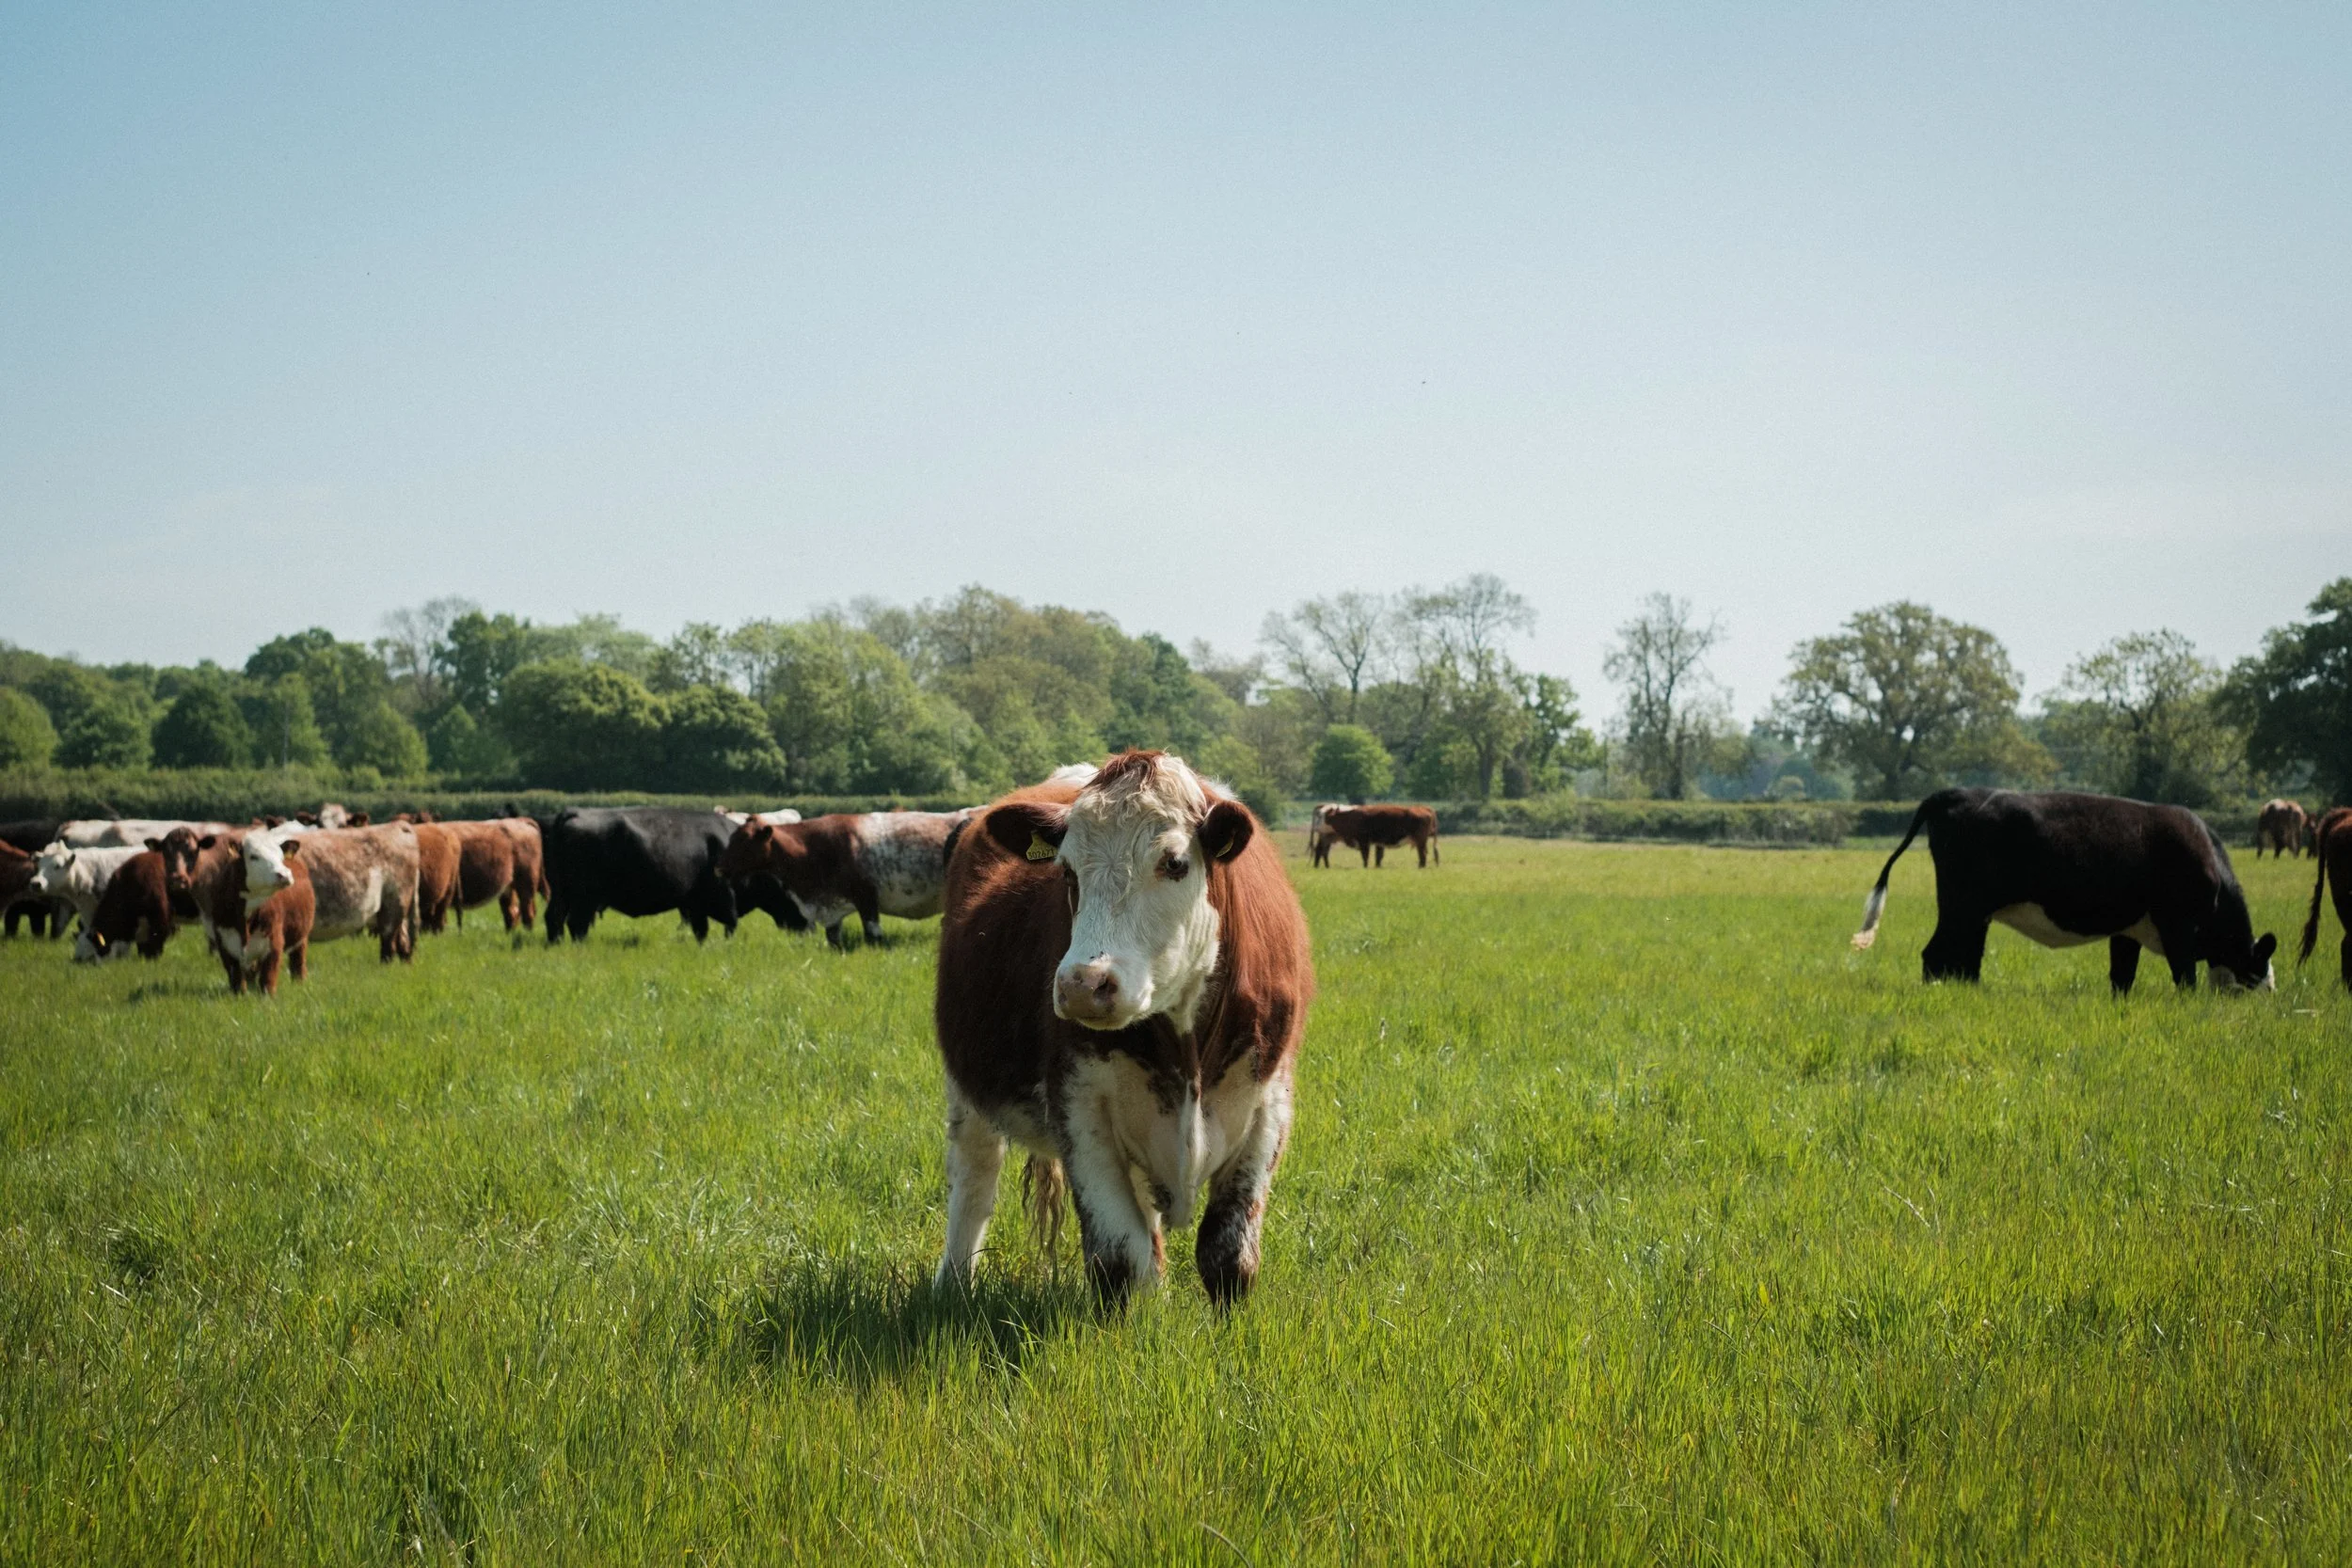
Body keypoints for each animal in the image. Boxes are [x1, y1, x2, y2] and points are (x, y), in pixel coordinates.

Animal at [539, 807, 741, 942]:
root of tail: (574, 813)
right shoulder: (721, 896)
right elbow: (727, 923)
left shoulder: (696, 903)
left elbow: (703, 928)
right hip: (584, 895)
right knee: (576, 923)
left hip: (562, 892)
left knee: (554, 918)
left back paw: (557, 944)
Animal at [717, 809, 973, 949]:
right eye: (733, 837)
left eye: (744, 842)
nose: (719, 868)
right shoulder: (832, 906)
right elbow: (833, 940)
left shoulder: (866, 897)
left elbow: (873, 936)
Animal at [932, 750, 1314, 1307]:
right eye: (1067, 871)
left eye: (1174, 863)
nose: (1082, 984)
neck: (1187, 1045)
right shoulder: (1079, 1104)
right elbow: (1118, 1255)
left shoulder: (1269, 1102)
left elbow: (1228, 1254)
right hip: (968, 1092)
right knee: (974, 1178)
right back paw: (953, 1283)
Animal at [1317, 804, 1441, 868]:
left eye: (1326, 816)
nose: (1318, 827)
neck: (1352, 817)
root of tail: (1424, 808)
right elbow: (1374, 856)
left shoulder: (1364, 842)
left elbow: (1365, 856)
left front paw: (1365, 866)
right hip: (1422, 841)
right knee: (1423, 854)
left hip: (1420, 840)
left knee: (1422, 854)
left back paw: (1421, 867)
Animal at [1853, 788, 2277, 992]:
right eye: (2260, 976)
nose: (2268, 999)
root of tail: (1952, 793)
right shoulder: (2179, 928)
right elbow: (2185, 977)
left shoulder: (2127, 930)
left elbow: (2122, 977)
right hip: (1962, 906)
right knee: (1938, 954)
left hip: (1973, 913)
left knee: (1965, 958)